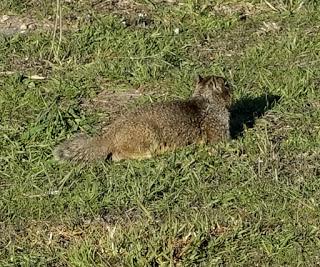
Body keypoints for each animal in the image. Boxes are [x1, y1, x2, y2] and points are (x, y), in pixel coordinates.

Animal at [53, 76, 231, 162]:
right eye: (226, 84)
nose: (231, 83)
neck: (205, 99)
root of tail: (110, 136)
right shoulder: (218, 125)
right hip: (146, 137)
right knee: (118, 156)